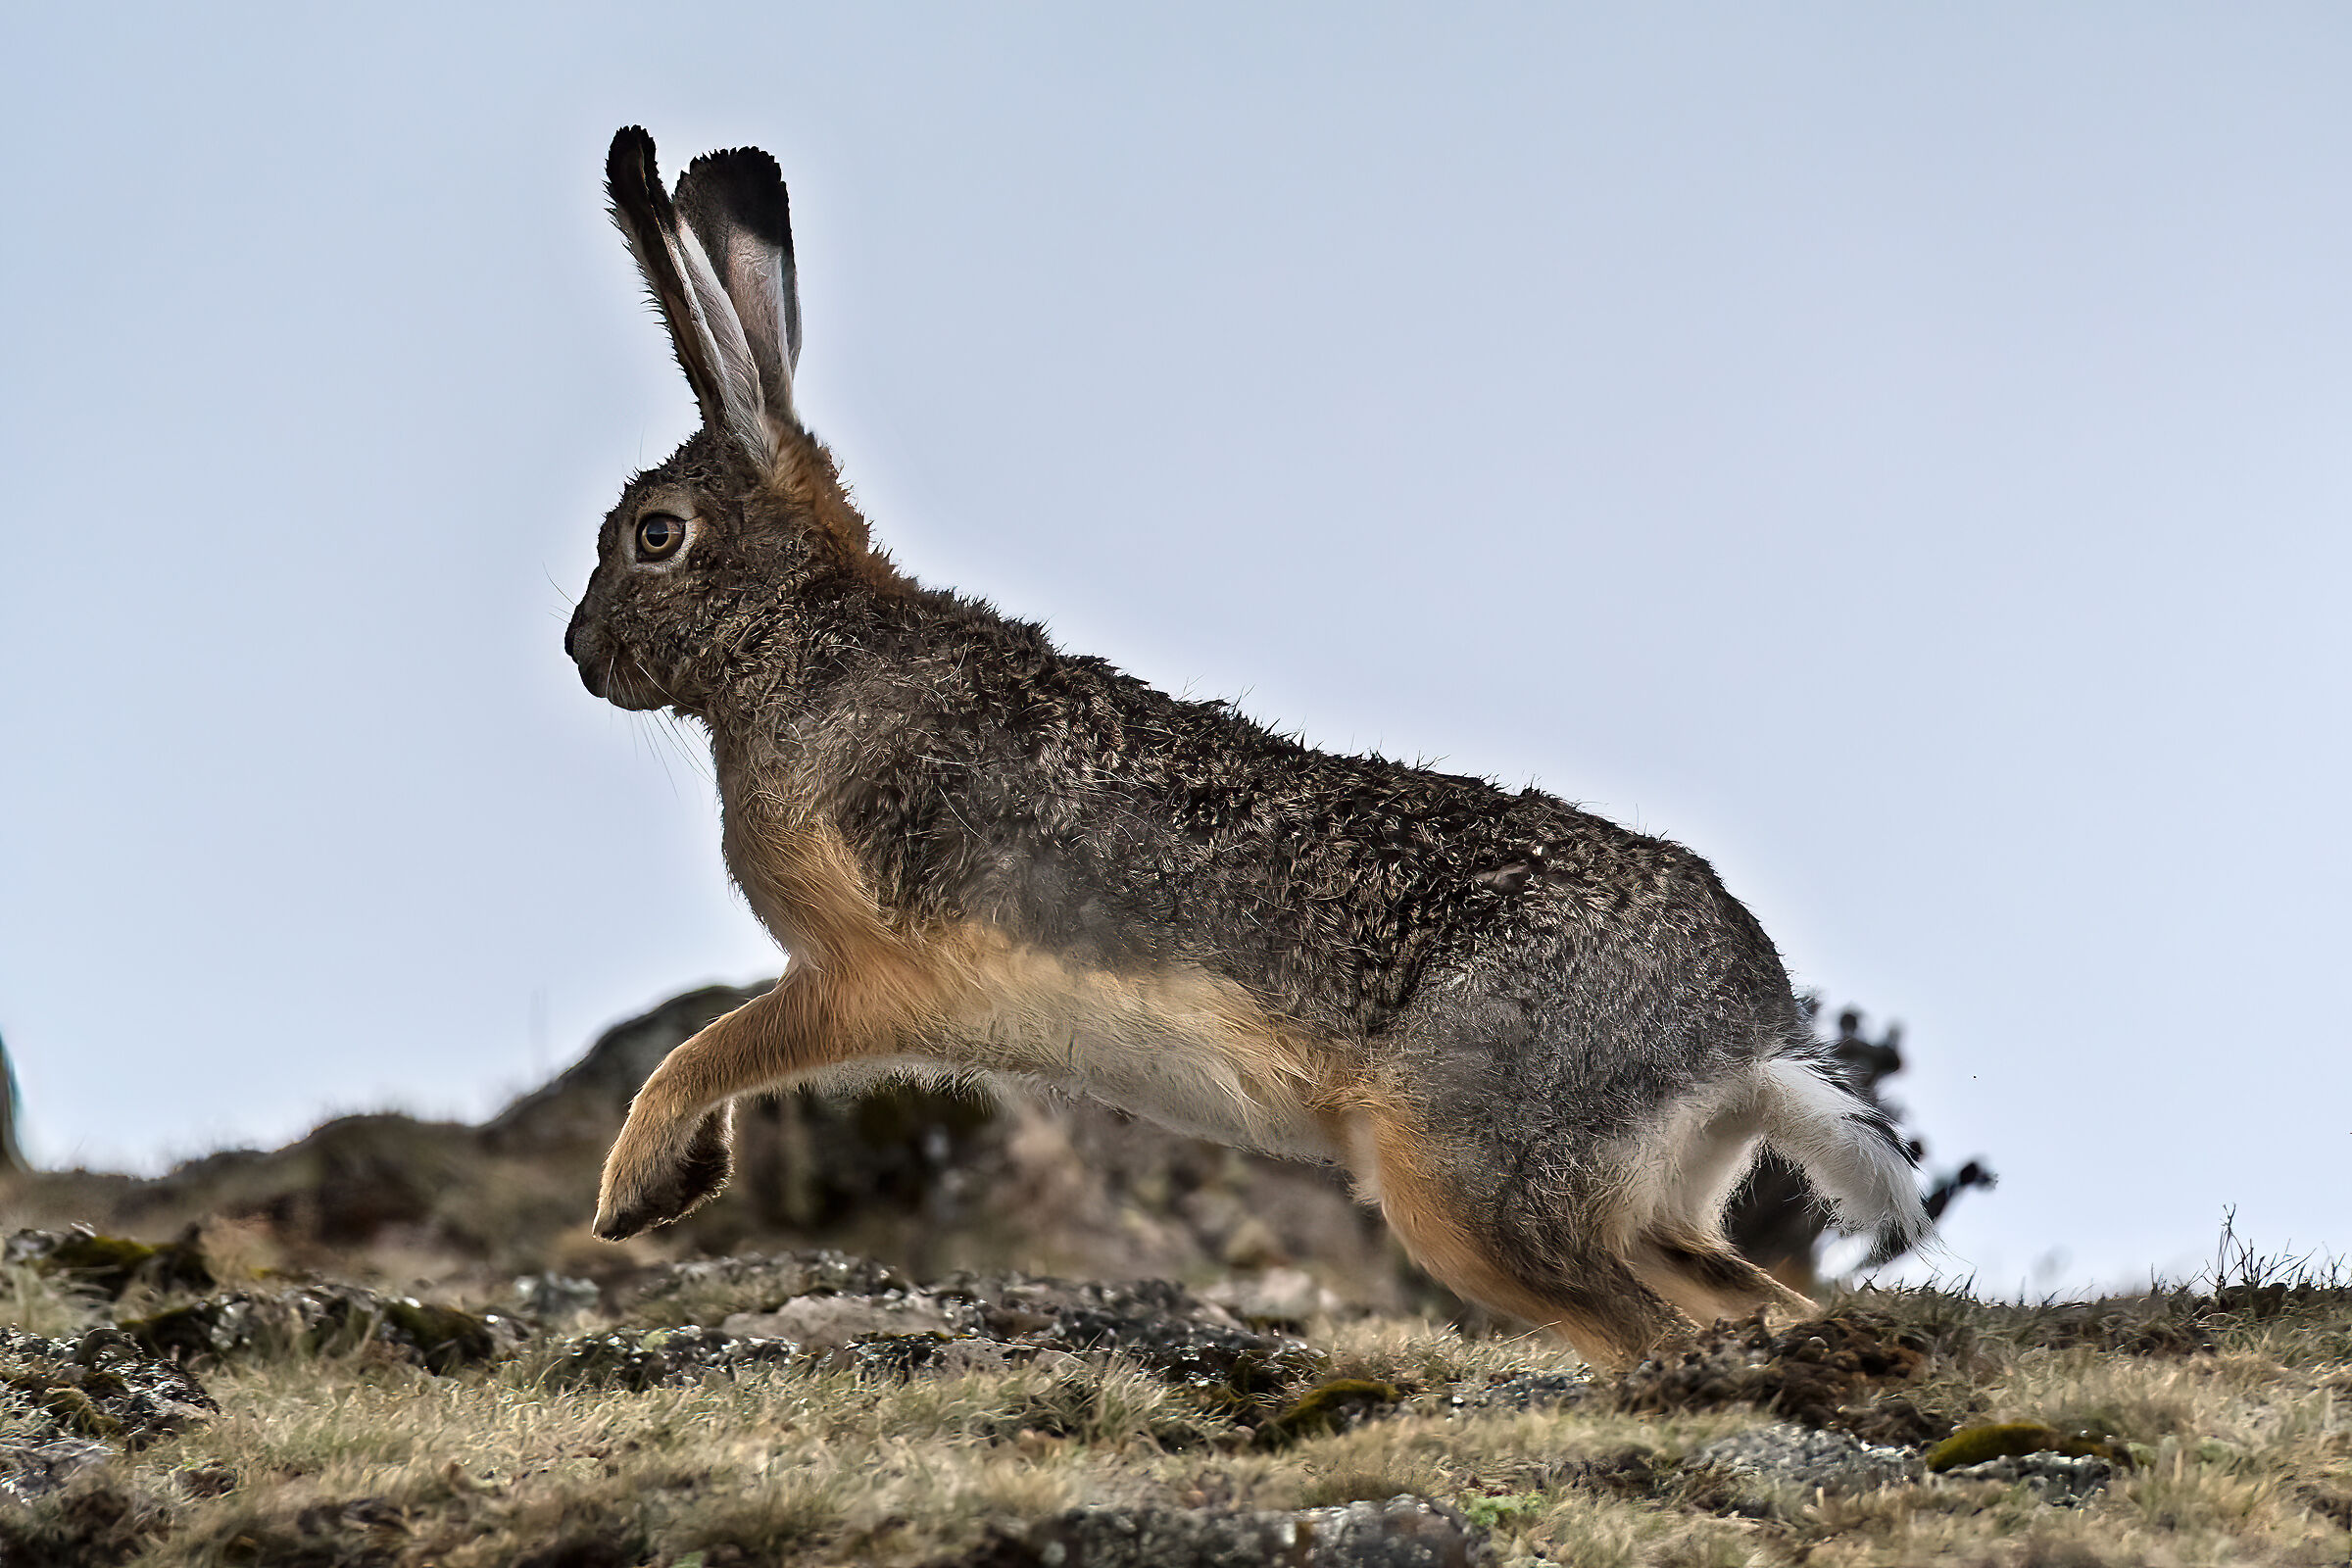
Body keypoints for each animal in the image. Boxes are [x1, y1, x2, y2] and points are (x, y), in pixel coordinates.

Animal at [565, 127, 1932, 1366]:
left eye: (654, 535)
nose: (580, 653)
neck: (799, 635)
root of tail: (1744, 1038)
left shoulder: (863, 972)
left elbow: (711, 1046)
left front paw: (633, 1191)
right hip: (1635, 1202)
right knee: (1745, 1297)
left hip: (1471, 1179)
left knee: (1647, 1327)